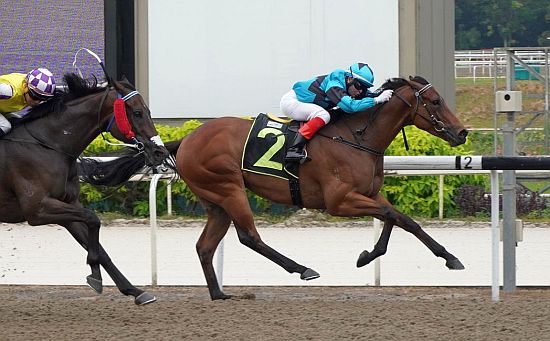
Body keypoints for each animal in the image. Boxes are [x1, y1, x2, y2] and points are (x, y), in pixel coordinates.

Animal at [0, 73, 169, 304]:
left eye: (148, 111)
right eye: (137, 112)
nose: (160, 152)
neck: (48, 146)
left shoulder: (67, 206)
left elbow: (97, 243)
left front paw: (135, 290)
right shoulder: (37, 209)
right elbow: (93, 218)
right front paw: (94, 273)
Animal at [86, 75, 470, 298]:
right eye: (435, 101)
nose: (462, 132)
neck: (357, 137)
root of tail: (185, 140)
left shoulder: (368, 194)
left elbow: (397, 218)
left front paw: (371, 255)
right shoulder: (340, 201)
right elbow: (398, 218)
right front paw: (446, 257)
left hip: (215, 201)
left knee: (205, 246)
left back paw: (219, 294)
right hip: (229, 189)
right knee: (249, 237)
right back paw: (302, 269)